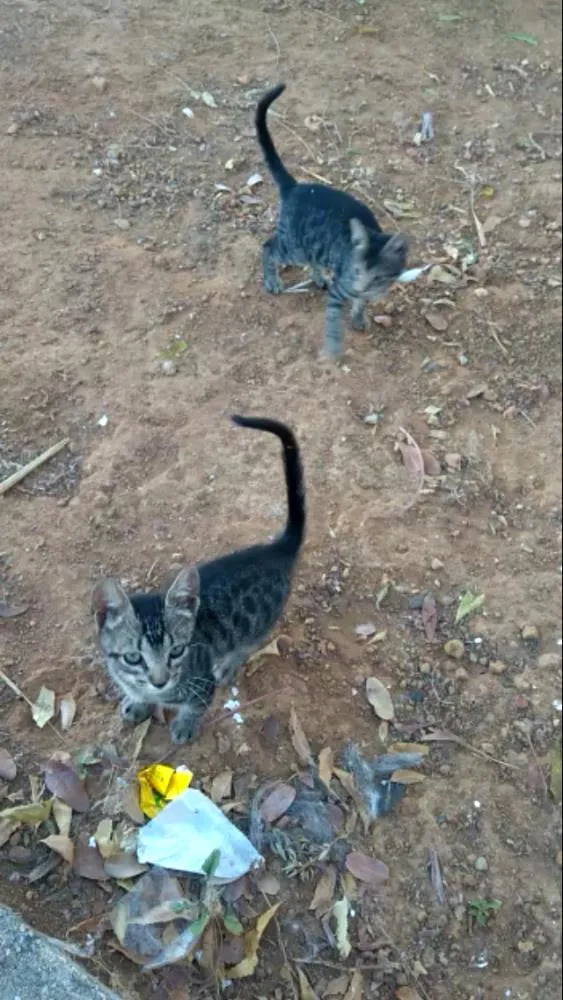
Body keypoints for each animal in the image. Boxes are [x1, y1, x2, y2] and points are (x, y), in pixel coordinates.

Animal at [92, 414, 306, 744]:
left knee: (249, 642)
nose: (159, 681)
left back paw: (229, 664)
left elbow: (195, 706)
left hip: (260, 622)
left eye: (177, 651)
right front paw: (138, 703)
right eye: (132, 658)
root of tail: (278, 548)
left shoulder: (201, 686)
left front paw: (184, 725)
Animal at [256, 82, 410, 358]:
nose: (359, 287)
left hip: (310, 246)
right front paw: (334, 345)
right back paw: (272, 280)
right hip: (293, 245)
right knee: (269, 246)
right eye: (357, 271)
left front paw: (359, 317)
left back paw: (318, 277)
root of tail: (295, 186)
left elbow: (360, 304)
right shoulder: (341, 288)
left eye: (377, 278)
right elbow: (333, 320)